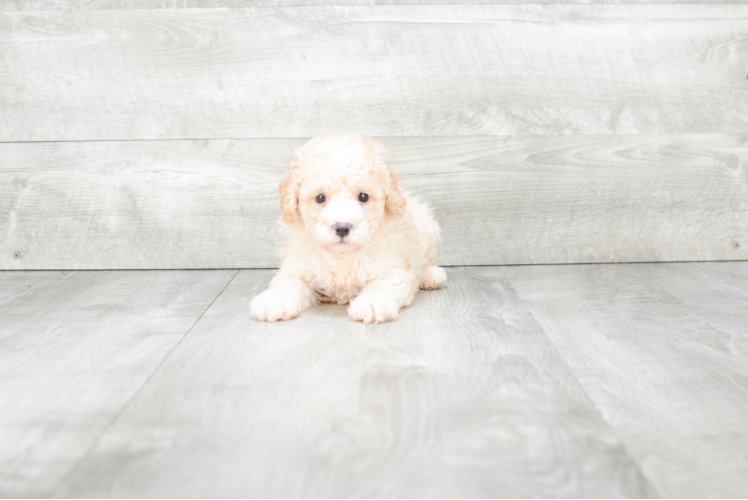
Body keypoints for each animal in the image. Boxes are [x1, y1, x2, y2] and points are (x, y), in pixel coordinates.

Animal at [251, 132, 448, 324]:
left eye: (363, 196)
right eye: (320, 198)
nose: (342, 228)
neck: (342, 256)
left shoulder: (390, 270)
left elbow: (382, 286)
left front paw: (371, 304)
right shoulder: (297, 266)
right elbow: (287, 283)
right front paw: (274, 302)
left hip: (426, 226)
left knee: (427, 259)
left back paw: (431, 276)